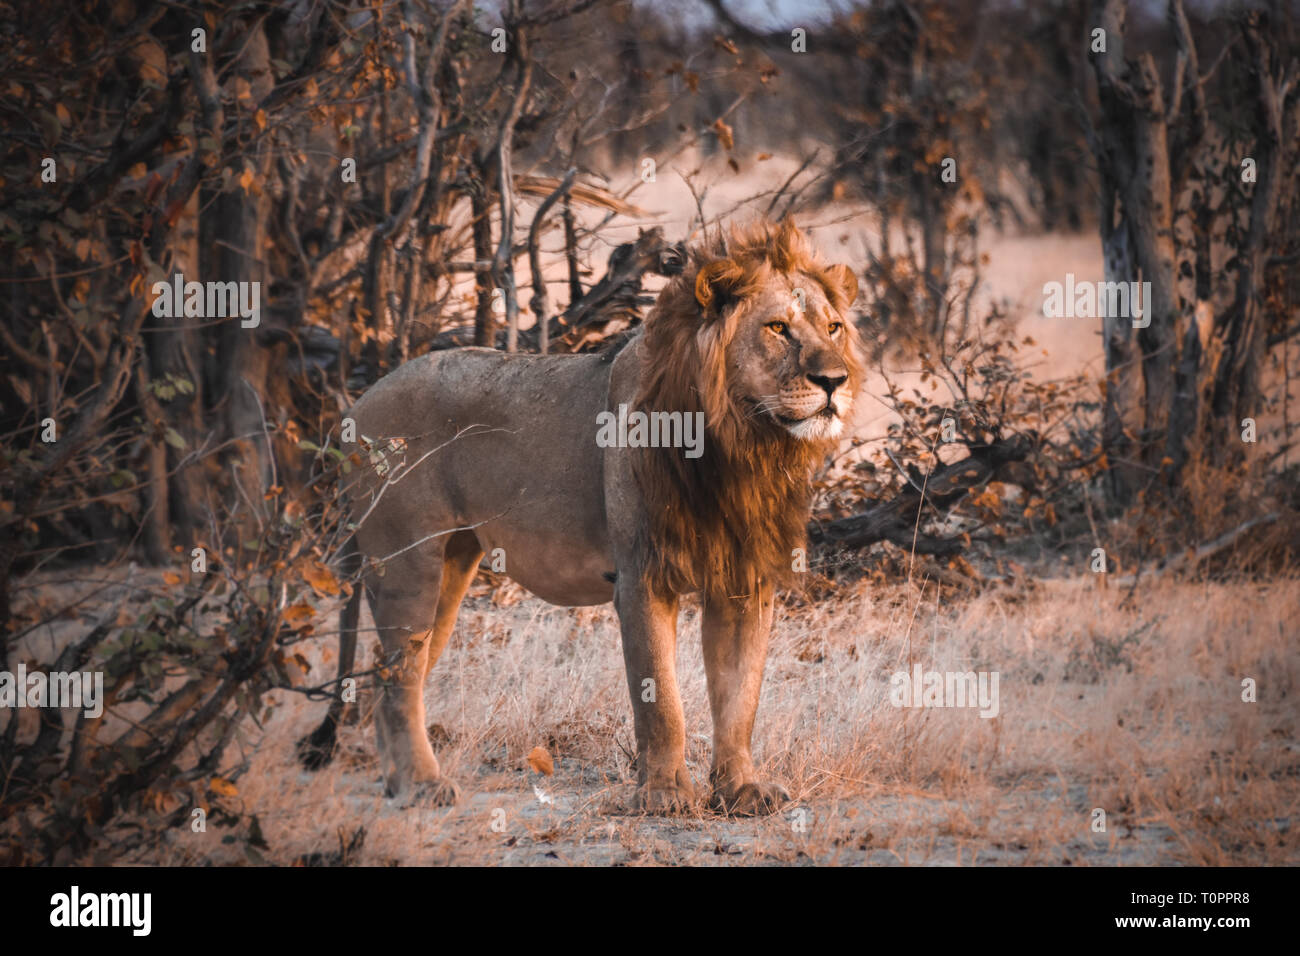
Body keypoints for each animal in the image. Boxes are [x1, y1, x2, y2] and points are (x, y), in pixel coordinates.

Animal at [299, 218, 863, 815]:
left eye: (833, 328)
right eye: (778, 328)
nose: (835, 381)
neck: (744, 443)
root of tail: (356, 404)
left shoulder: (743, 580)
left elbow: (740, 698)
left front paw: (741, 789)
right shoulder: (642, 576)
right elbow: (660, 698)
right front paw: (664, 795)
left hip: (451, 567)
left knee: (383, 684)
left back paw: (399, 785)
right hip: (409, 566)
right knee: (398, 682)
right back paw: (424, 787)